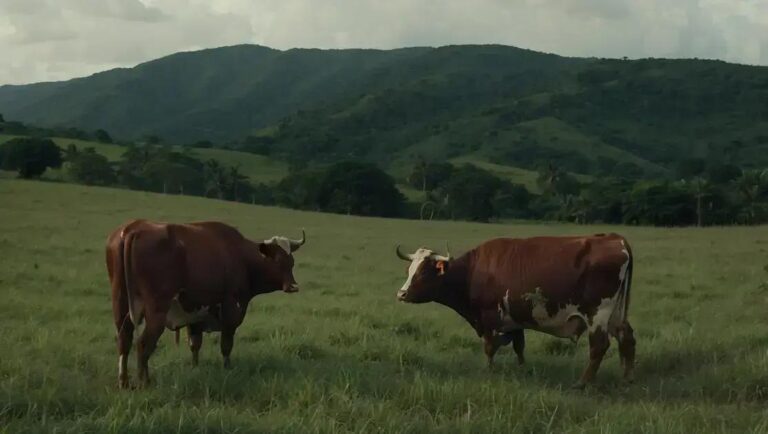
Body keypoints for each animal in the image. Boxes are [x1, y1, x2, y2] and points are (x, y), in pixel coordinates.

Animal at [106, 219, 307, 388]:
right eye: (277, 260)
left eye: (291, 261)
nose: (293, 286)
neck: (241, 256)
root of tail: (133, 229)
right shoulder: (231, 310)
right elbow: (226, 345)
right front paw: (227, 369)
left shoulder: (194, 314)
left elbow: (195, 345)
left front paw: (195, 368)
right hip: (156, 312)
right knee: (143, 345)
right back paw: (144, 382)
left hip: (122, 306)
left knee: (124, 339)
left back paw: (124, 381)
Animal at [394, 233, 635, 388]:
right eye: (409, 270)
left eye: (423, 272)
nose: (401, 294)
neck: (473, 271)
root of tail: (614, 238)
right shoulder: (515, 319)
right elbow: (519, 345)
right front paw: (522, 368)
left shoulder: (489, 317)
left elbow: (490, 347)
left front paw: (489, 370)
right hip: (615, 314)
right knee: (627, 337)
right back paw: (625, 377)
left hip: (598, 313)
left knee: (599, 346)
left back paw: (582, 382)